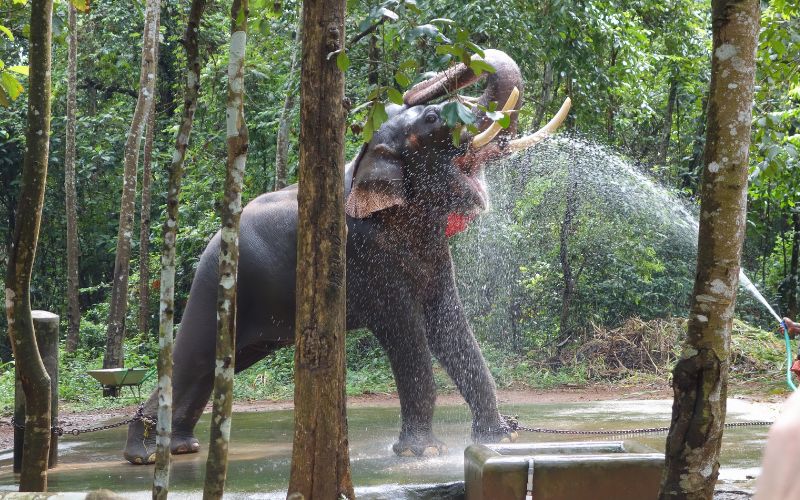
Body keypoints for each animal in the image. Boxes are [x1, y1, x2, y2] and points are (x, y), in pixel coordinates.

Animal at [123, 49, 571, 464]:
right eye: (431, 119)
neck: (364, 161)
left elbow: (448, 320)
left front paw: (501, 438)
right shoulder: (365, 255)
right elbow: (405, 330)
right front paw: (422, 453)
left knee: (219, 363)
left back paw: (175, 447)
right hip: (216, 283)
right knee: (195, 354)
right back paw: (146, 454)